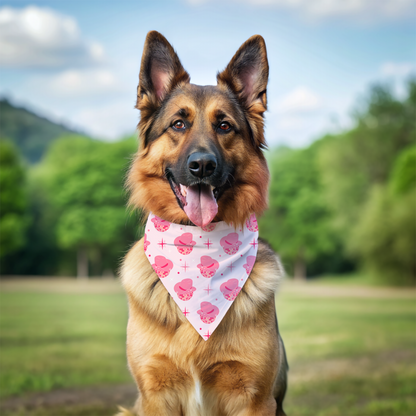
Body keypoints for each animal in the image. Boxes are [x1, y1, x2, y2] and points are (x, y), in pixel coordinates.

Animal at [118, 30, 288, 416]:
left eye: (224, 126)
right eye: (178, 124)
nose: (202, 166)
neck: (197, 247)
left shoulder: (256, 399)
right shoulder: (155, 395)